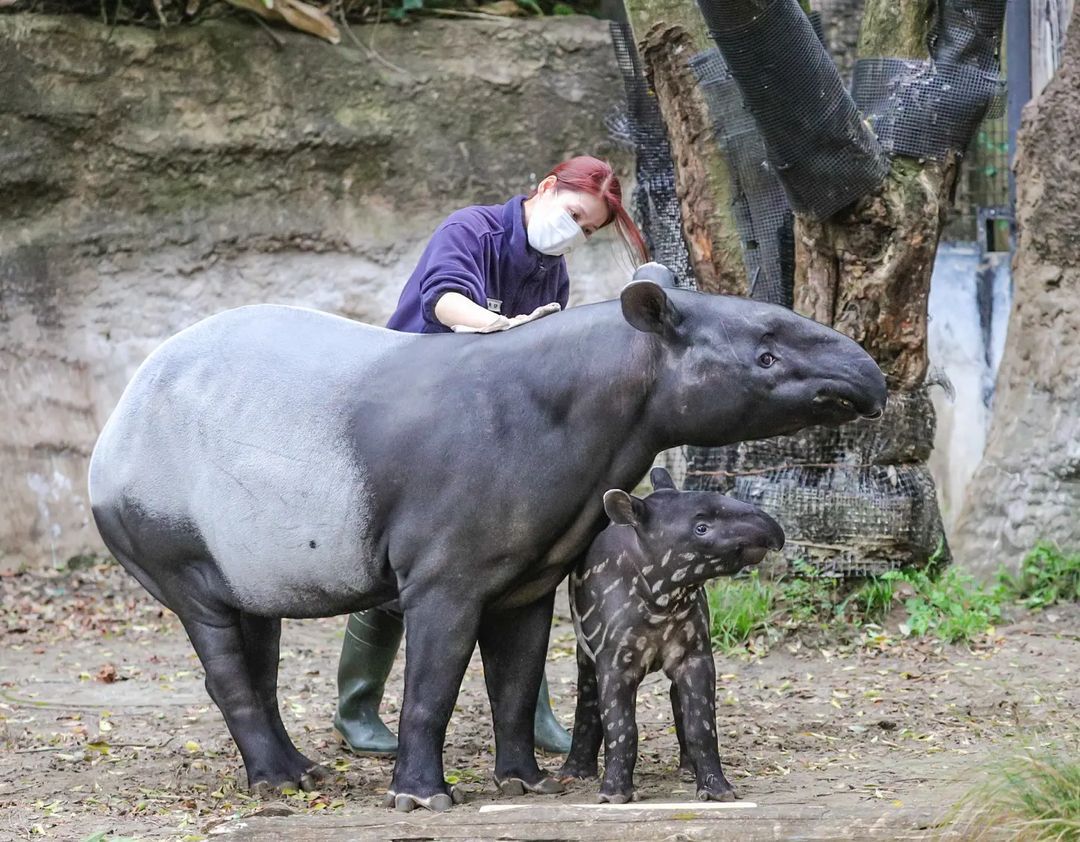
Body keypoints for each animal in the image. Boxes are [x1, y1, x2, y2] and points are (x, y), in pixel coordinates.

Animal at [557, 466, 786, 803]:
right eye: (701, 528)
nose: (774, 530)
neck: (664, 600)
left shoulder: (695, 654)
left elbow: (701, 725)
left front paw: (717, 790)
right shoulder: (615, 658)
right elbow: (622, 727)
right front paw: (614, 795)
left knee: (678, 700)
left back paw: (688, 770)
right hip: (585, 651)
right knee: (587, 698)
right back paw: (575, 773)